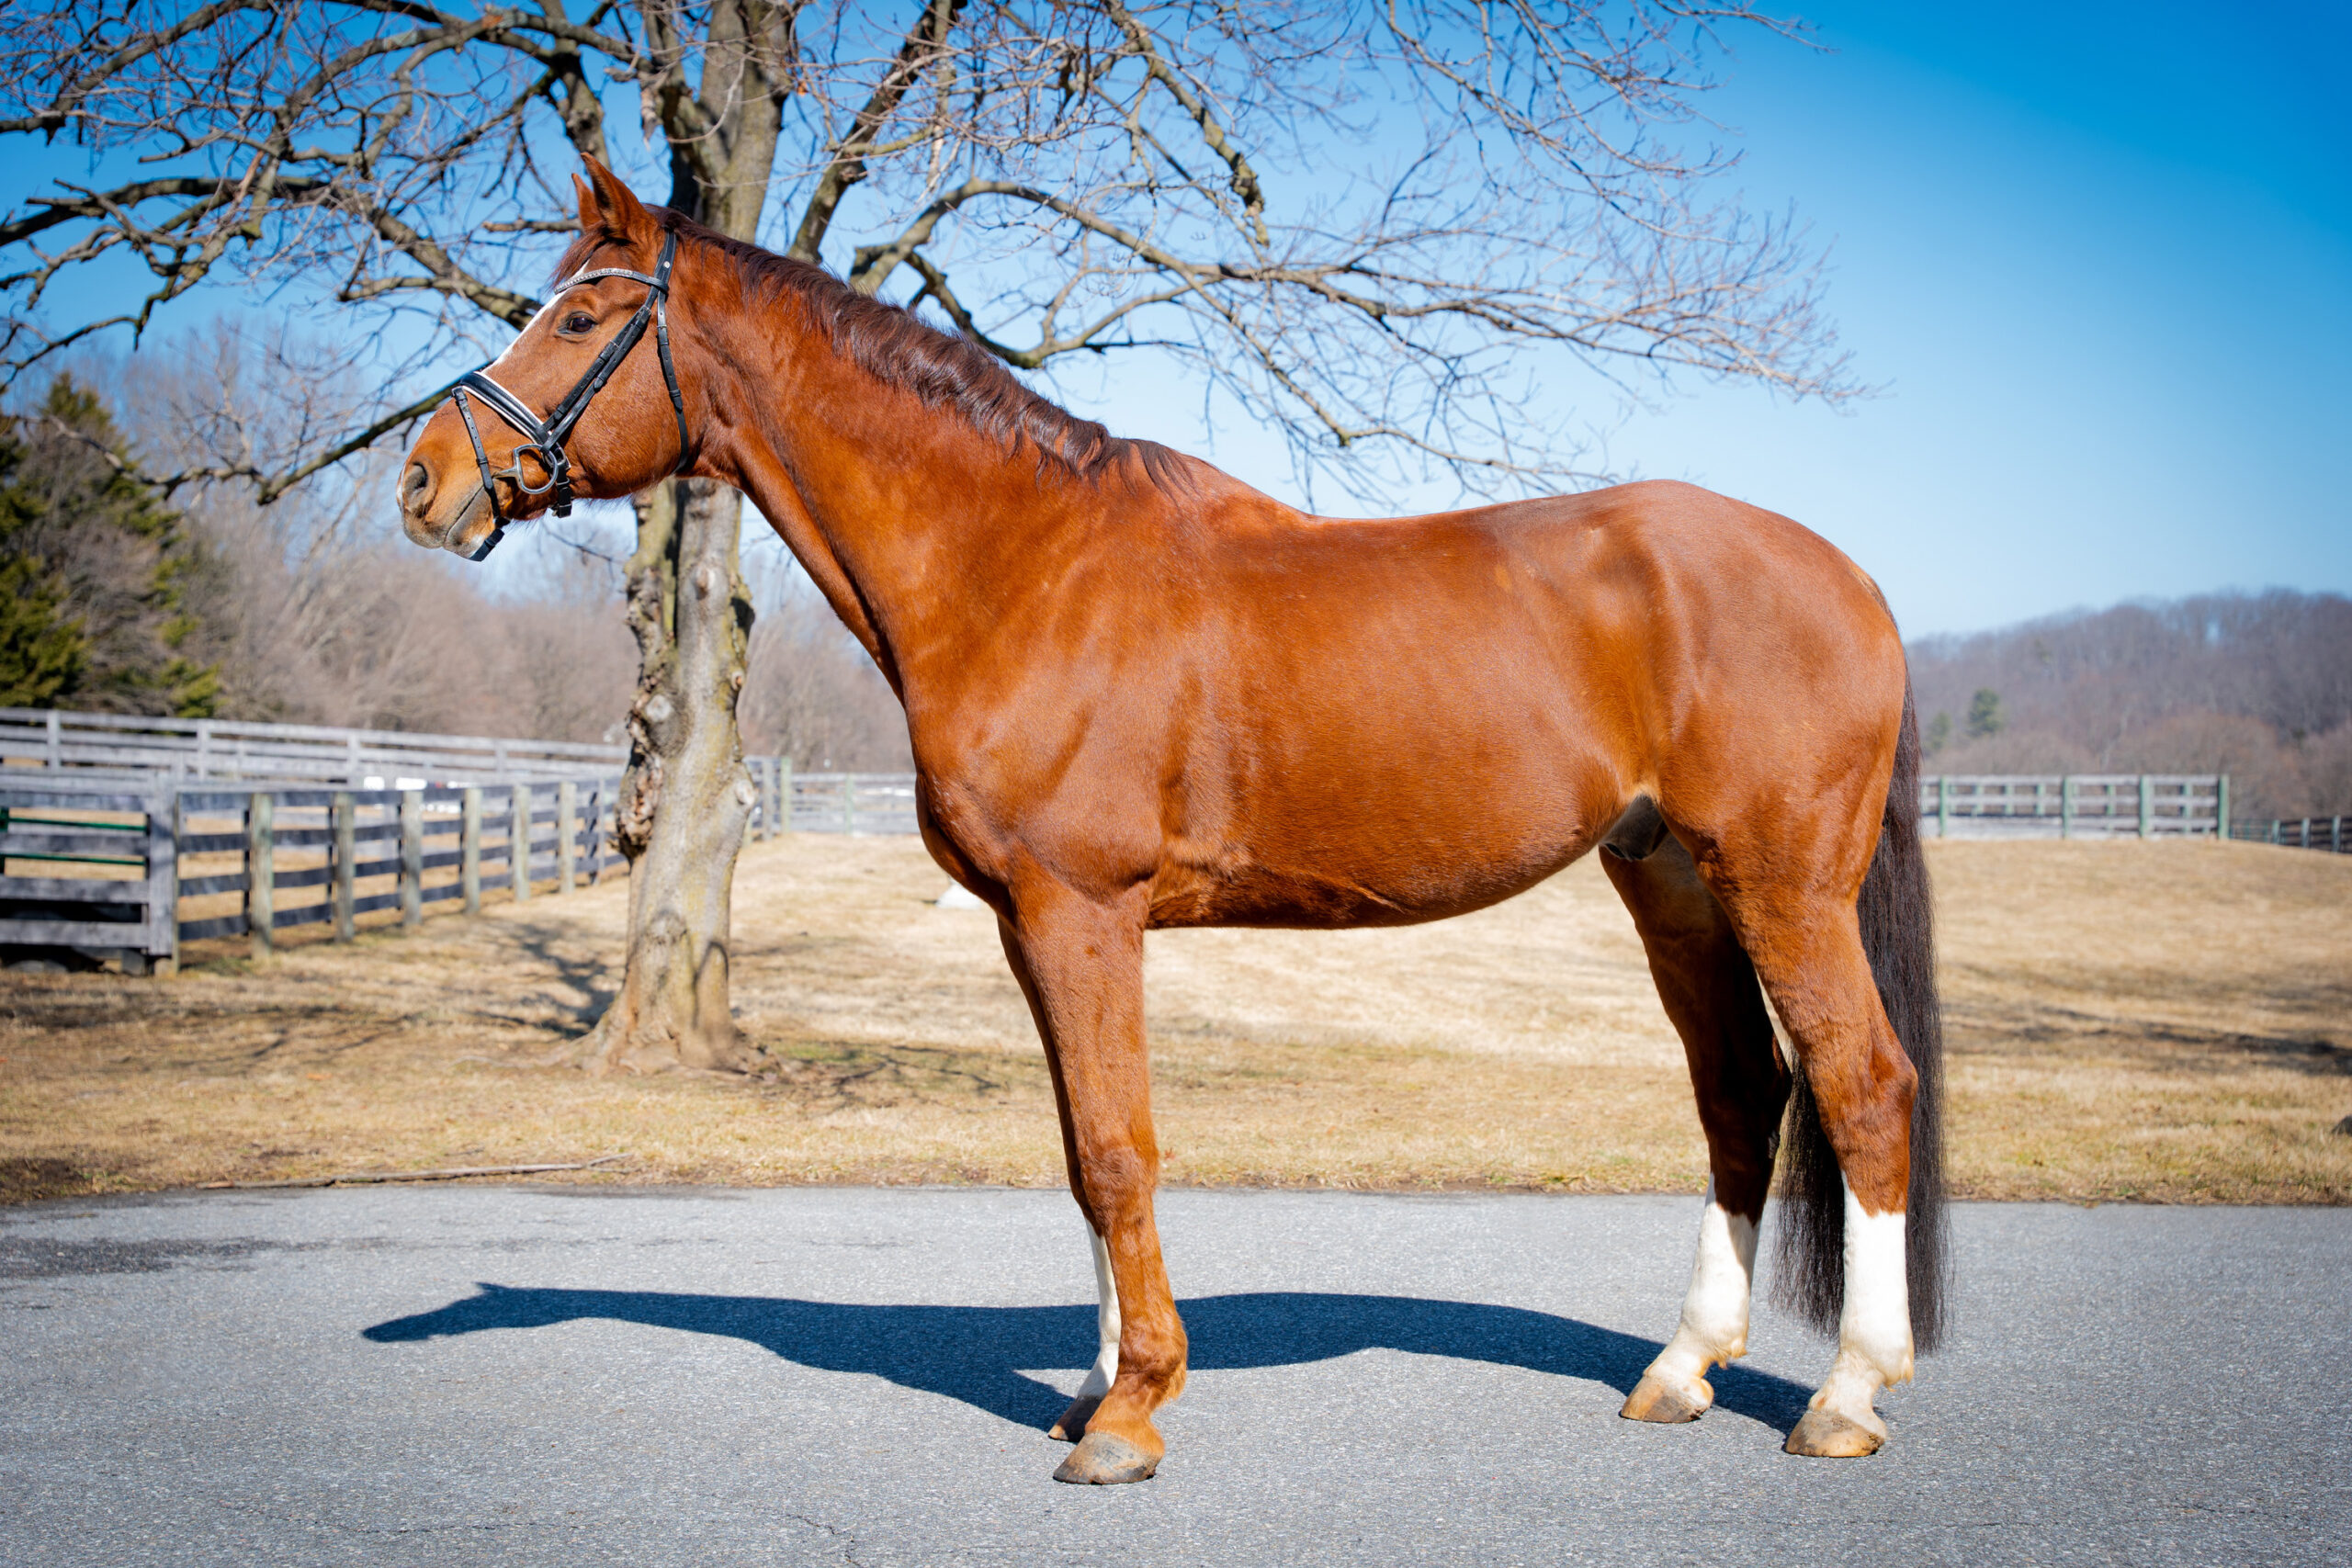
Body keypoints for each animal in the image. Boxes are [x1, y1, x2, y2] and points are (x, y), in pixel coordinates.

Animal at [397, 158, 1949, 1486]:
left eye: (580, 314)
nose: (424, 480)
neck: (1021, 565)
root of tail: (1854, 576)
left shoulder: (1085, 908)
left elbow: (1115, 1146)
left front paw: (1132, 1413)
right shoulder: (1028, 921)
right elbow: (1082, 1150)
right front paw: (1094, 1384)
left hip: (1783, 884)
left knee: (1865, 1085)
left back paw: (1846, 1394)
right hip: (1672, 881)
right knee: (1742, 1093)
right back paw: (1682, 1369)